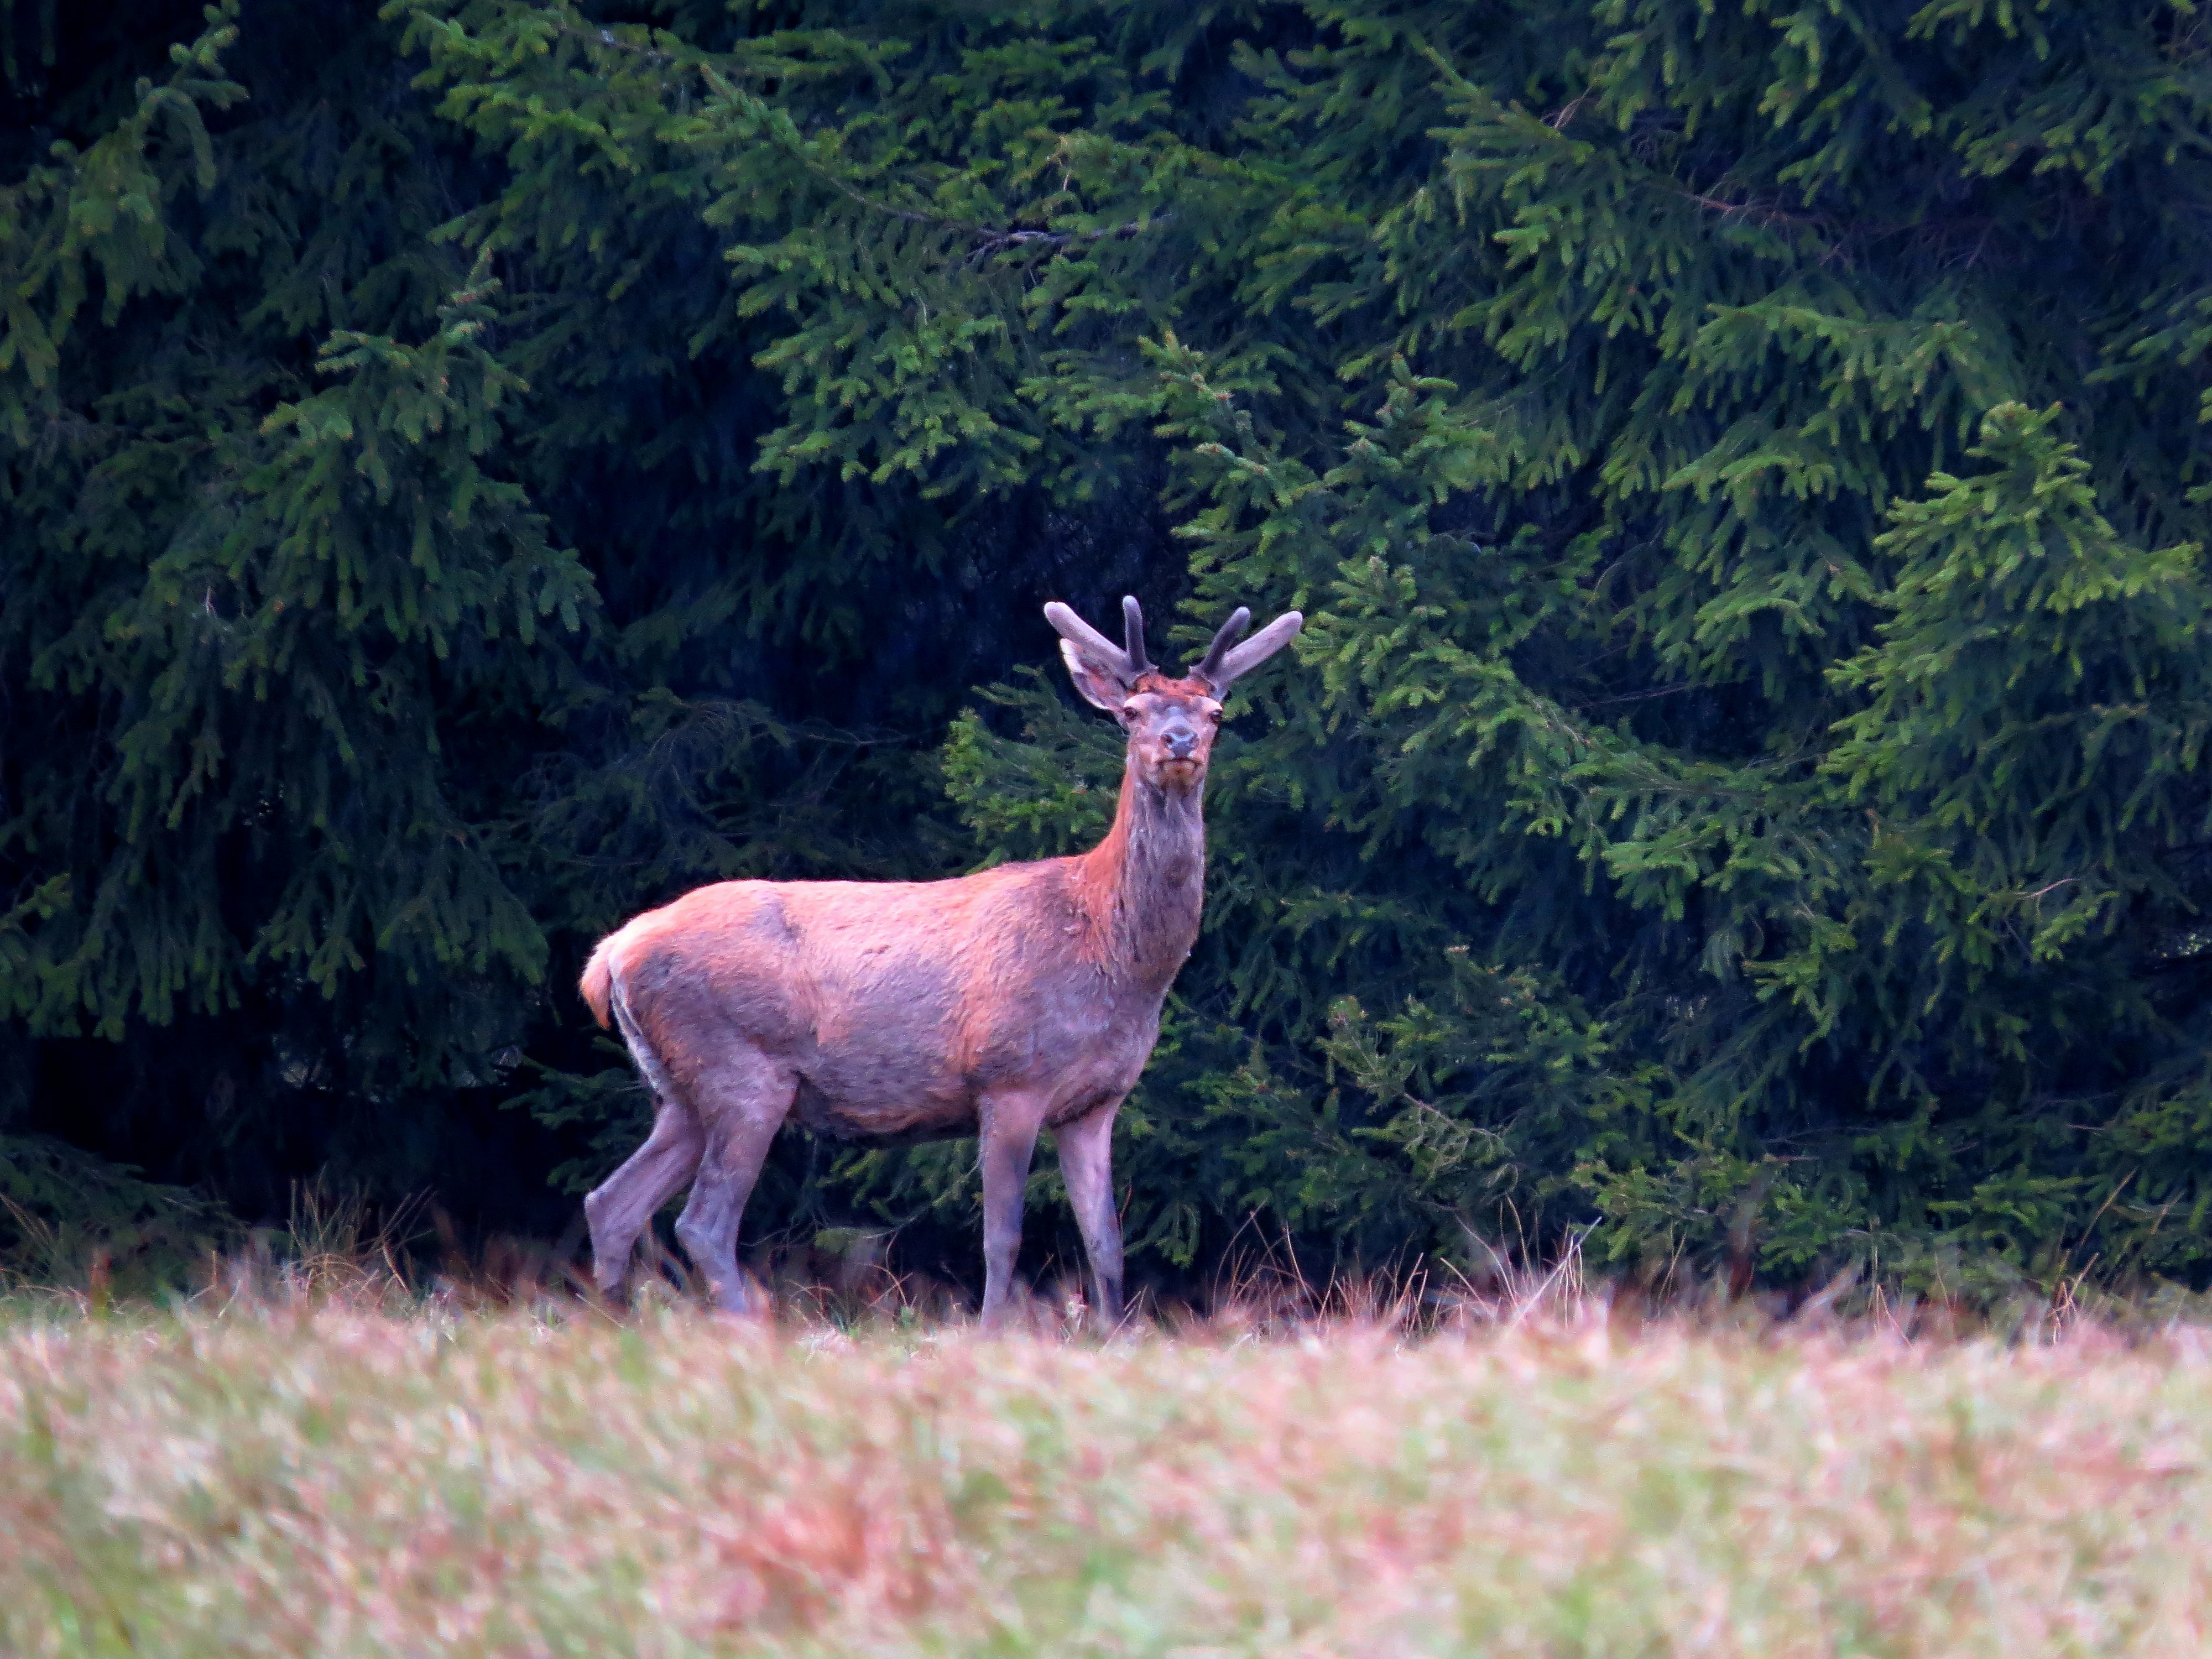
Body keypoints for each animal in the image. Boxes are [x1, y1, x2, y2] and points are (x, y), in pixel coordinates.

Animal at [576, 595, 1302, 1326]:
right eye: (1131, 711)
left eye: (1215, 713)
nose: (1179, 742)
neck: (1111, 953)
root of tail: (611, 954)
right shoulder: (1008, 1079)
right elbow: (1002, 1237)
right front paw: (992, 1333)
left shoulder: (1097, 1103)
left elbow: (1106, 1245)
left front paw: (1115, 1334)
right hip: (739, 1069)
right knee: (701, 1222)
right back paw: (745, 1329)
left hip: (681, 1089)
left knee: (612, 1202)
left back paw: (616, 1325)